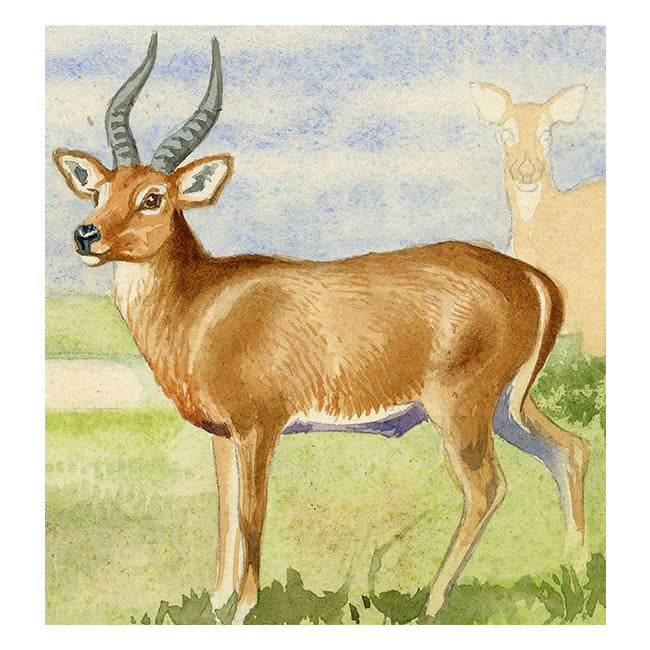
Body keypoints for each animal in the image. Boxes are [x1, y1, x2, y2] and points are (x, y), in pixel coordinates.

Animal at [53, 34, 590, 624]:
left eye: (153, 197)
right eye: (99, 191)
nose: (86, 234)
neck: (202, 305)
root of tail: (532, 278)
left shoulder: (259, 427)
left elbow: (252, 514)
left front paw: (243, 610)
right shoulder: (222, 435)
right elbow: (224, 514)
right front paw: (215, 604)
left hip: (461, 409)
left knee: (486, 489)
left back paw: (432, 602)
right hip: (508, 406)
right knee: (570, 450)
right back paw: (574, 571)